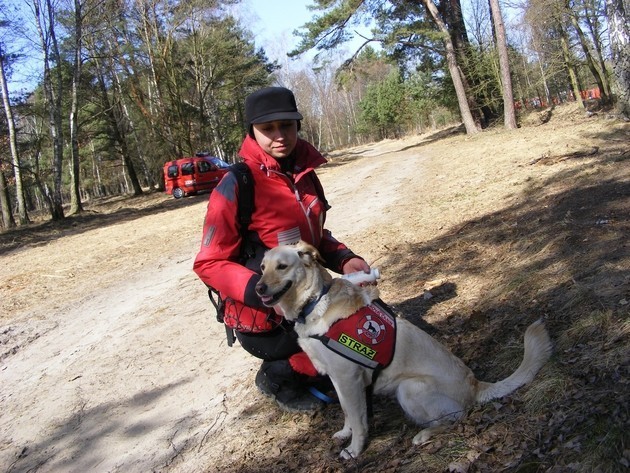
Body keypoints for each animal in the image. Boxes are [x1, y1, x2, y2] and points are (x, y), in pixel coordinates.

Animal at [256, 240, 552, 458]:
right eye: (262, 267)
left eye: (282, 267)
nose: (258, 288)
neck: (314, 302)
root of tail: (476, 385)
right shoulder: (337, 379)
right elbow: (347, 412)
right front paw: (345, 434)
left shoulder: (348, 379)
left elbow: (358, 418)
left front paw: (354, 449)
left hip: (409, 388)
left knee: (455, 418)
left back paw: (424, 435)